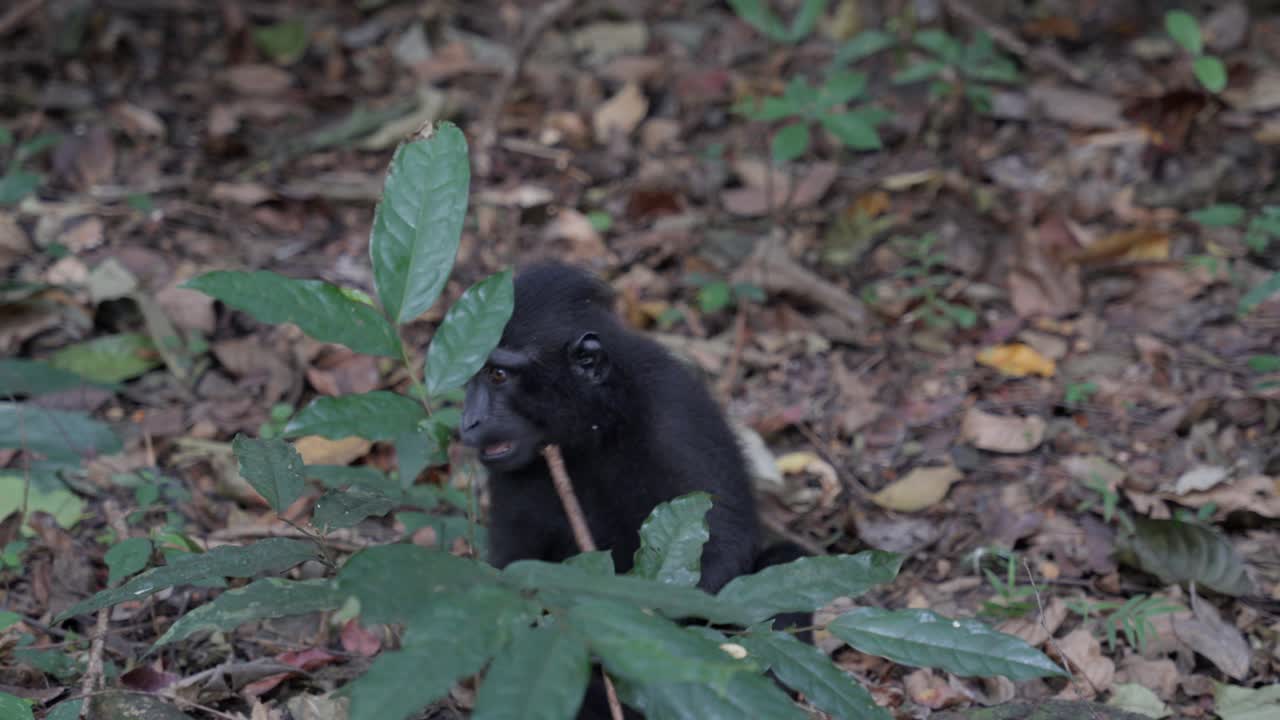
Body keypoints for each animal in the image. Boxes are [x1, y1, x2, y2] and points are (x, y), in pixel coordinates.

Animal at [459, 262, 809, 716]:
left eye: (498, 375)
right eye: (472, 376)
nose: (468, 422)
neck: (595, 428)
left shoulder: (675, 415)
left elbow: (724, 549)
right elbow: (514, 569)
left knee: (786, 556)